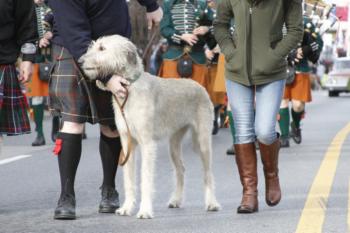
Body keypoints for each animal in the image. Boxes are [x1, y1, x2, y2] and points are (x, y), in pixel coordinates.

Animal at [80, 34, 220, 218]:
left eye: (102, 48)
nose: (80, 61)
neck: (129, 87)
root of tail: (199, 86)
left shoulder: (147, 144)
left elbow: (145, 178)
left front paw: (145, 210)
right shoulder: (127, 143)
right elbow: (129, 178)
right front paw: (127, 207)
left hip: (202, 141)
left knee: (208, 173)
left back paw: (212, 203)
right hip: (174, 143)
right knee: (181, 169)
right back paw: (176, 199)